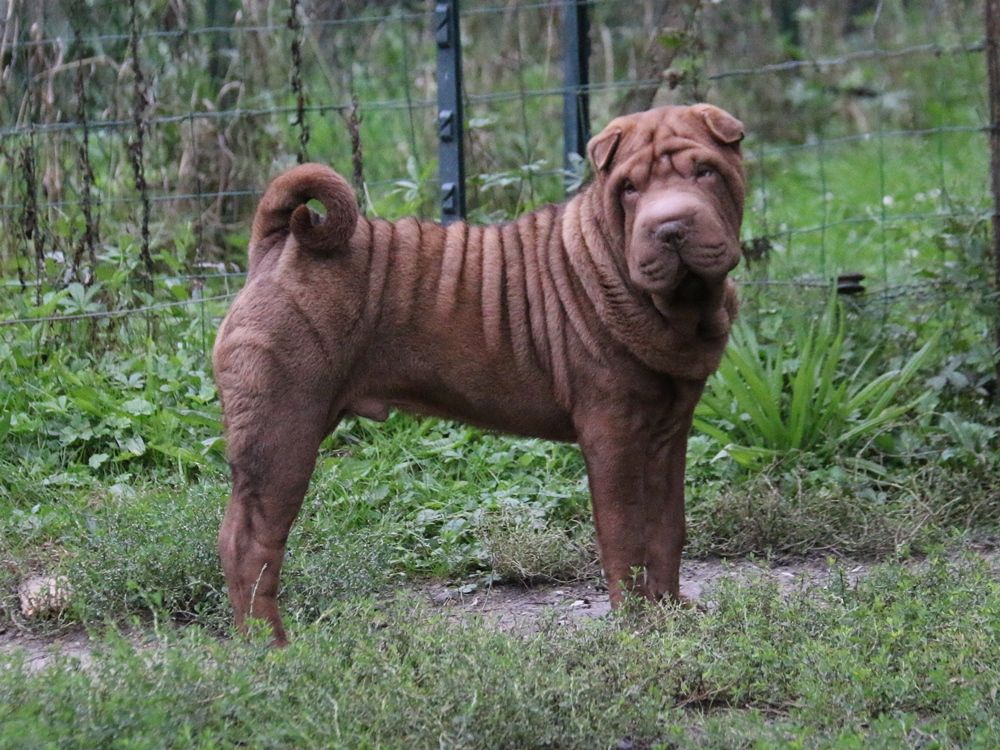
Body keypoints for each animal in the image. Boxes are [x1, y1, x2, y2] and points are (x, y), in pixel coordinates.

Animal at [213, 104, 744, 648]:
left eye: (706, 172)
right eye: (630, 188)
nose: (671, 226)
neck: (678, 306)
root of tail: (277, 246)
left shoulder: (667, 432)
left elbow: (666, 528)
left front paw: (671, 612)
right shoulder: (613, 435)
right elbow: (626, 535)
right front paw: (638, 624)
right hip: (284, 429)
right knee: (249, 540)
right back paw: (269, 643)